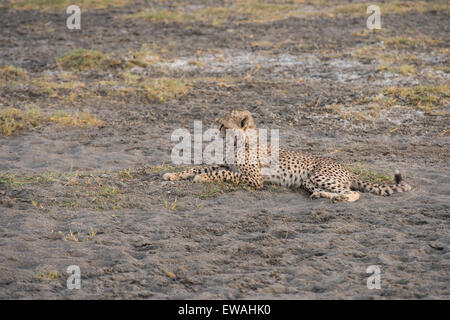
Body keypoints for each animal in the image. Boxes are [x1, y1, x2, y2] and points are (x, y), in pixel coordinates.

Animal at [163, 109, 414, 201]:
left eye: (223, 124)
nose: (217, 130)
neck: (237, 143)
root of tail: (346, 168)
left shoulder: (254, 179)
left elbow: (220, 175)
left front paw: (202, 178)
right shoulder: (226, 166)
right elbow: (200, 166)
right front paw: (173, 175)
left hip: (318, 176)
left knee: (353, 193)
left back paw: (338, 198)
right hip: (308, 181)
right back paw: (322, 195)